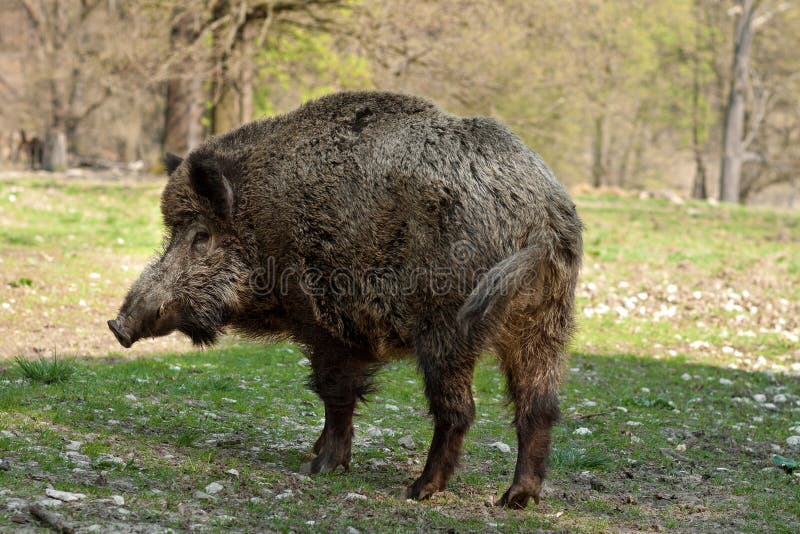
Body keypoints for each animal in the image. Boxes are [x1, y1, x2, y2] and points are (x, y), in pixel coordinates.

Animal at [108, 91, 582, 508]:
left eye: (201, 235)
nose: (117, 325)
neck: (261, 223)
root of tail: (542, 219)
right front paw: (315, 455)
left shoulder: (327, 324)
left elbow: (334, 393)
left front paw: (319, 467)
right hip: (546, 322)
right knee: (538, 406)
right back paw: (515, 499)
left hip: (448, 326)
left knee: (460, 410)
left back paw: (419, 490)